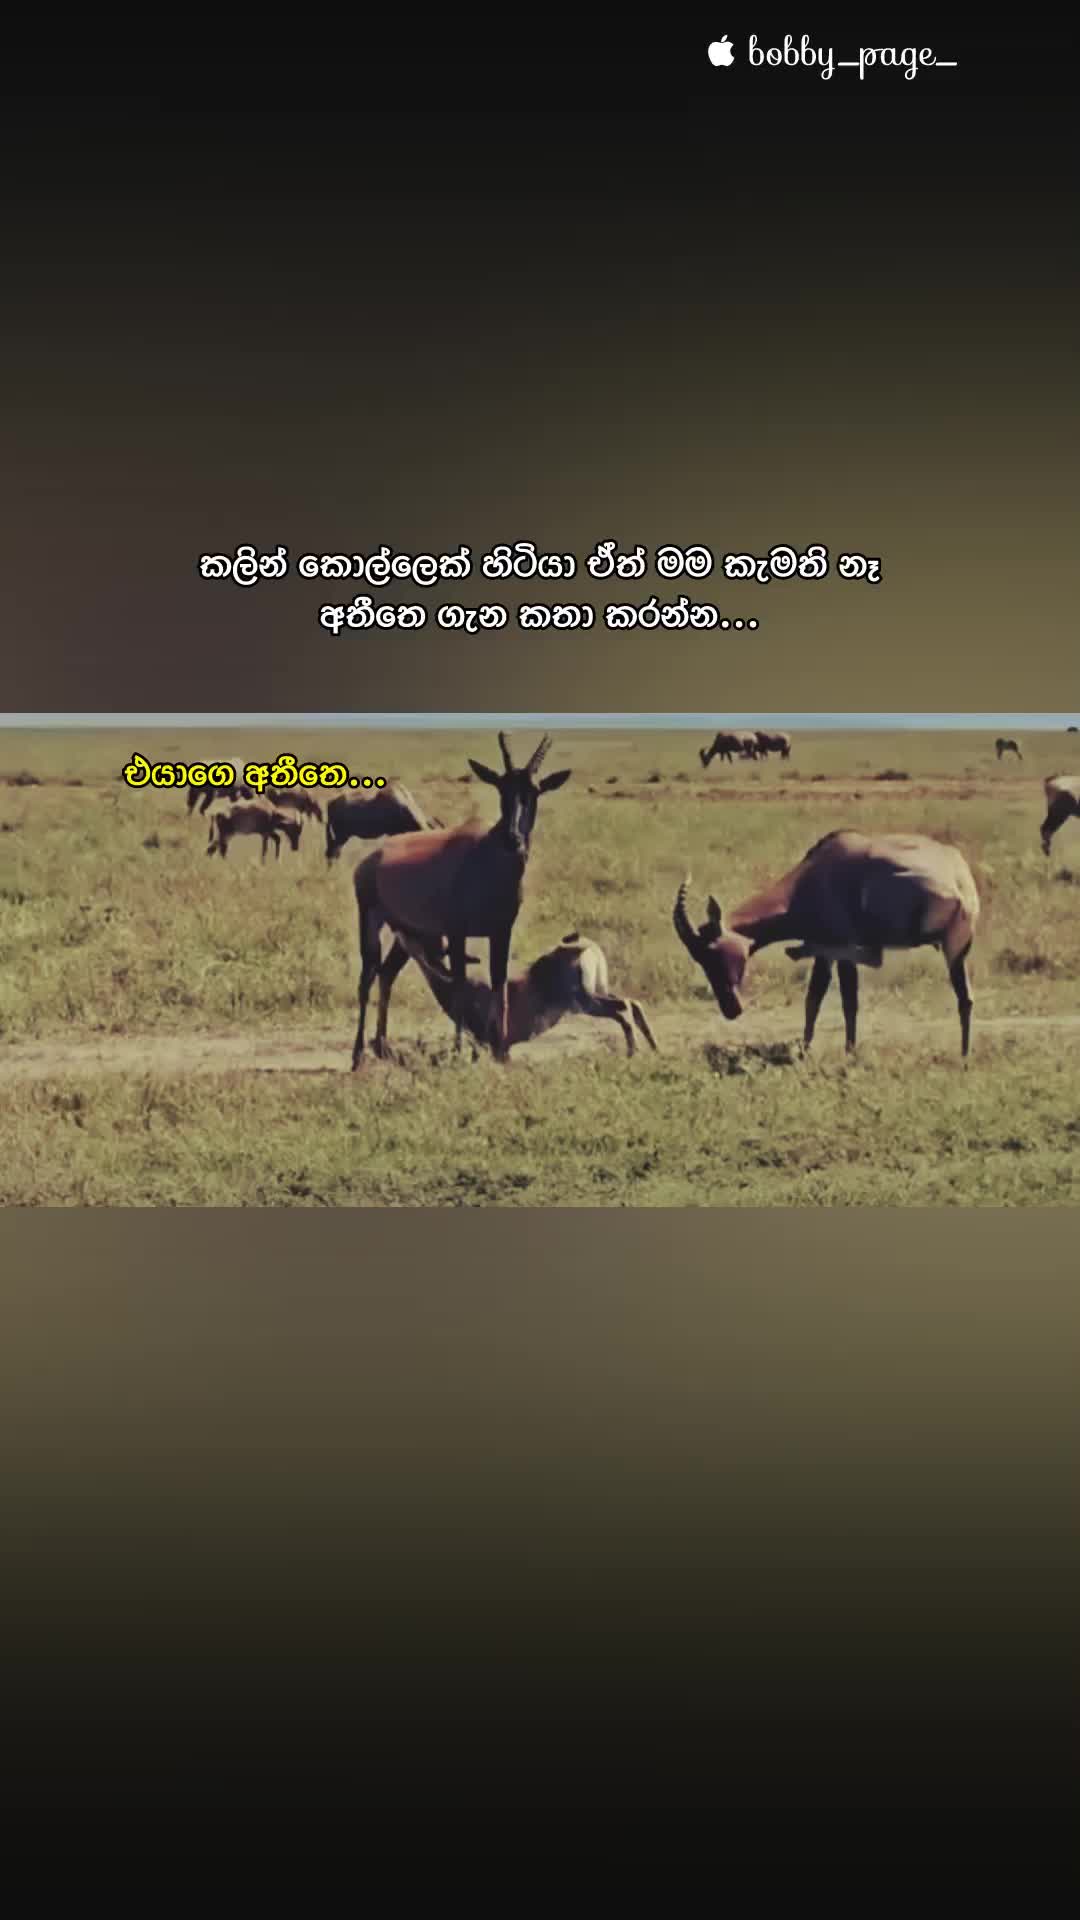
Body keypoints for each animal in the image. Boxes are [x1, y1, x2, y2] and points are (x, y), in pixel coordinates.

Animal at [350, 733, 571, 1068]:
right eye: (501, 787)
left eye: (533, 791)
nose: (513, 840)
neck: (487, 855)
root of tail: (373, 858)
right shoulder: (456, 933)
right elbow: (459, 984)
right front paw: (458, 1051)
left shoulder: (501, 931)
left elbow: (498, 982)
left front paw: (500, 1052)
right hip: (371, 919)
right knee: (367, 976)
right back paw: (358, 1054)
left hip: (410, 932)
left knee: (387, 974)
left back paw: (384, 1047)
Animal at [392, 929, 658, 1058]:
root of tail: (580, 943)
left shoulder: (497, 1048)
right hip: (601, 991)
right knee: (633, 1003)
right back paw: (654, 1048)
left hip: (588, 1002)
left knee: (623, 1008)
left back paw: (633, 1052)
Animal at [672, 827, 980, 1059]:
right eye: (698, 957)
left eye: (712, 953)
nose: (731, 1009)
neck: (818, 871)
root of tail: (958, 889)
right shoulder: (831, 957)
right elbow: (815, 998)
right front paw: (806, 1047)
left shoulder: (837, 949)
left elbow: (844, 1000)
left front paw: (842, 1051)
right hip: (956, 951)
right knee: (965, 999)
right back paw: (964, 1056)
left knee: (873, 956)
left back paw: (797, 950)